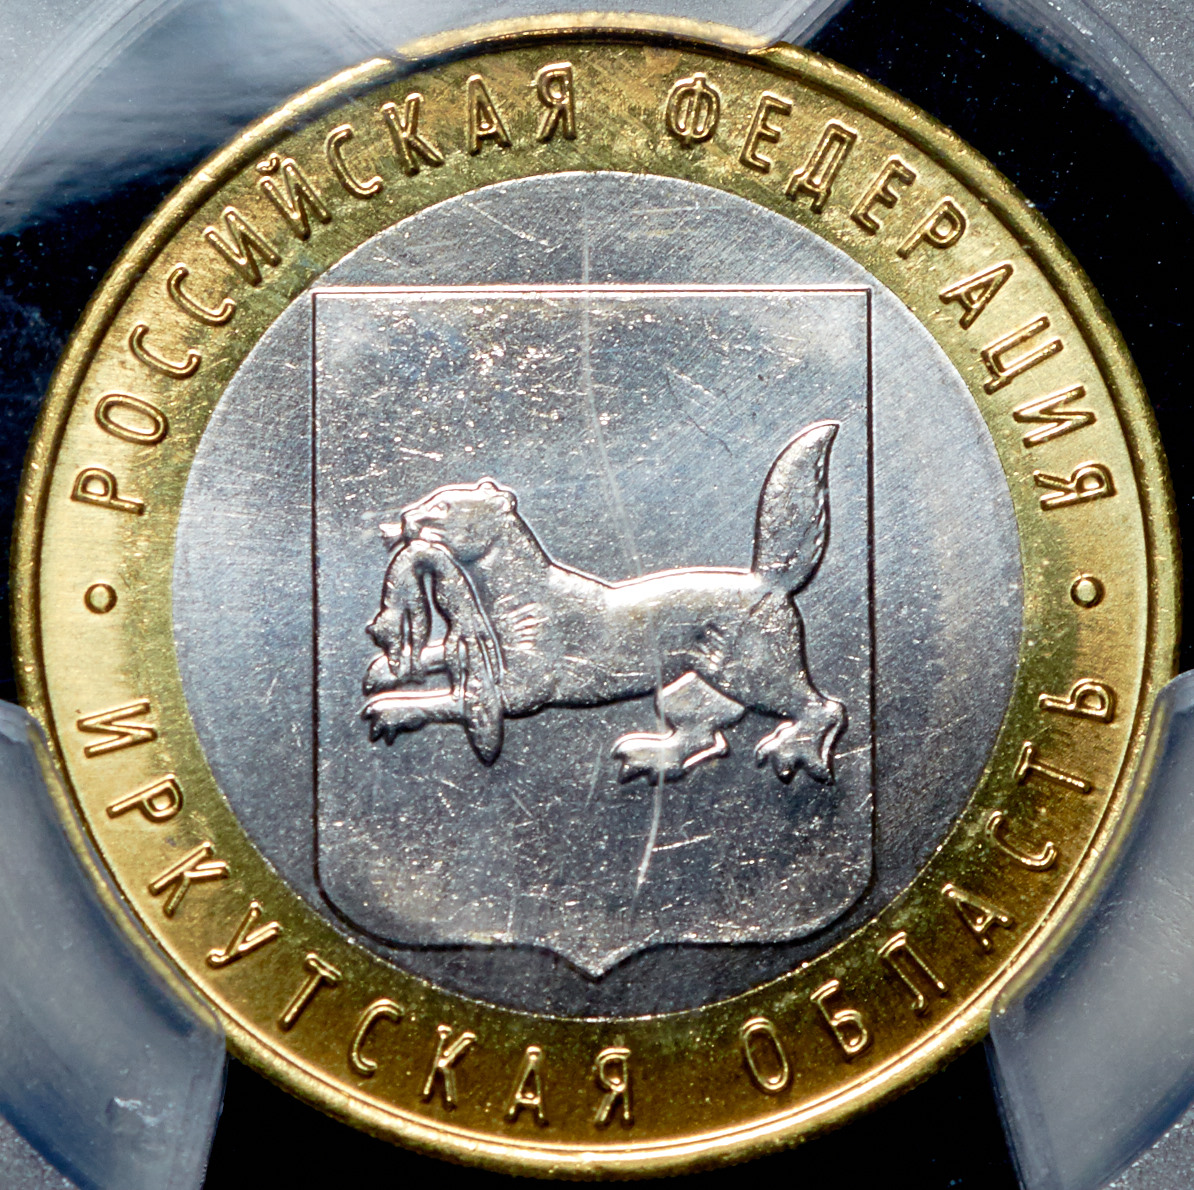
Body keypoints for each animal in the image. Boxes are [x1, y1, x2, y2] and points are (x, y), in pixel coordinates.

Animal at [361, 421, 847, 785]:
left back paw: (792, 750)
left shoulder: (522, 690)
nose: (404, 518)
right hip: (684, 688)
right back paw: (653, 755)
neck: (511, 593)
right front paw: (387, 668)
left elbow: (452, 700)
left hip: (753, 671)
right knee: (708, 730)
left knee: (823, 708)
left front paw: (392, 708)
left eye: (442, 506)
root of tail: (771, 579)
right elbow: (440, 656)